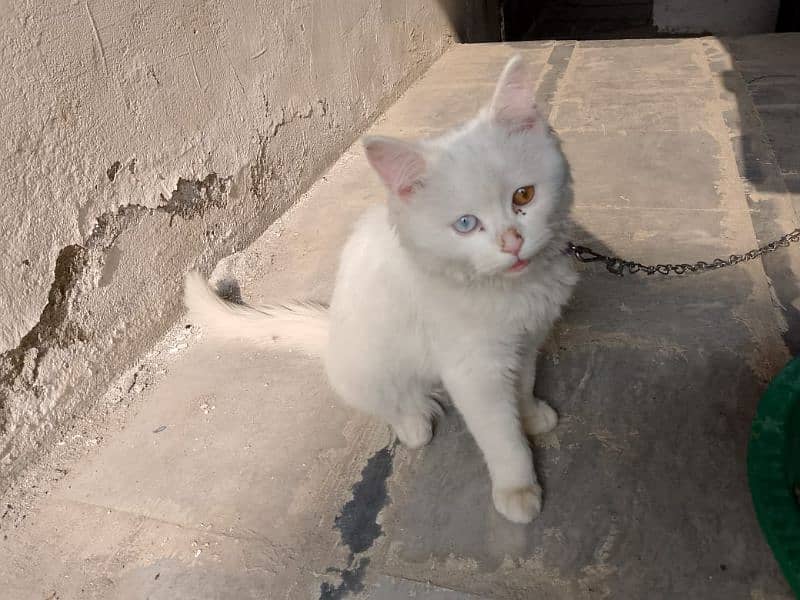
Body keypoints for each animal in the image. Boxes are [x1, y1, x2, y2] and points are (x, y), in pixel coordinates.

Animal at [185, 57, 580, 524]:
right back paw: (416, 423)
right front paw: (518, 489)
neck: (508, 290)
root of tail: (331, 334)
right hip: (370, 369)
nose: (513, 242)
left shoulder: (528, 340)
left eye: (524, 196)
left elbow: (524, 387)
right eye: (466, 224)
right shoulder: (474, 369)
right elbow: (502, 437)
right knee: (394, 406)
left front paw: (532, 416)